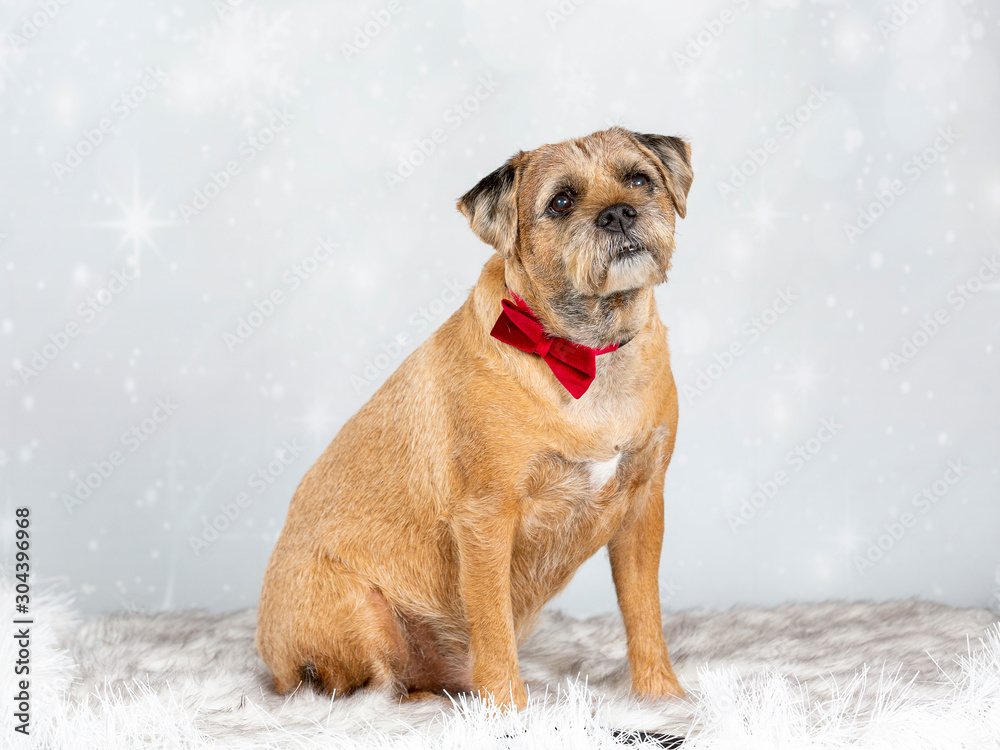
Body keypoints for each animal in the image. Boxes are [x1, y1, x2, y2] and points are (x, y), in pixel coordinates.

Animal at [258, 128, 692, 712]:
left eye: (640, 180)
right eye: (561, 202)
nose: (620, 213)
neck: (585, 352)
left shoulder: (644, 506)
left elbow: (644, 612)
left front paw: (661, 694)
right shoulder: (486, 520)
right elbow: (492, 625)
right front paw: (508, 709)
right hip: (363, 610)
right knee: (368, 688)